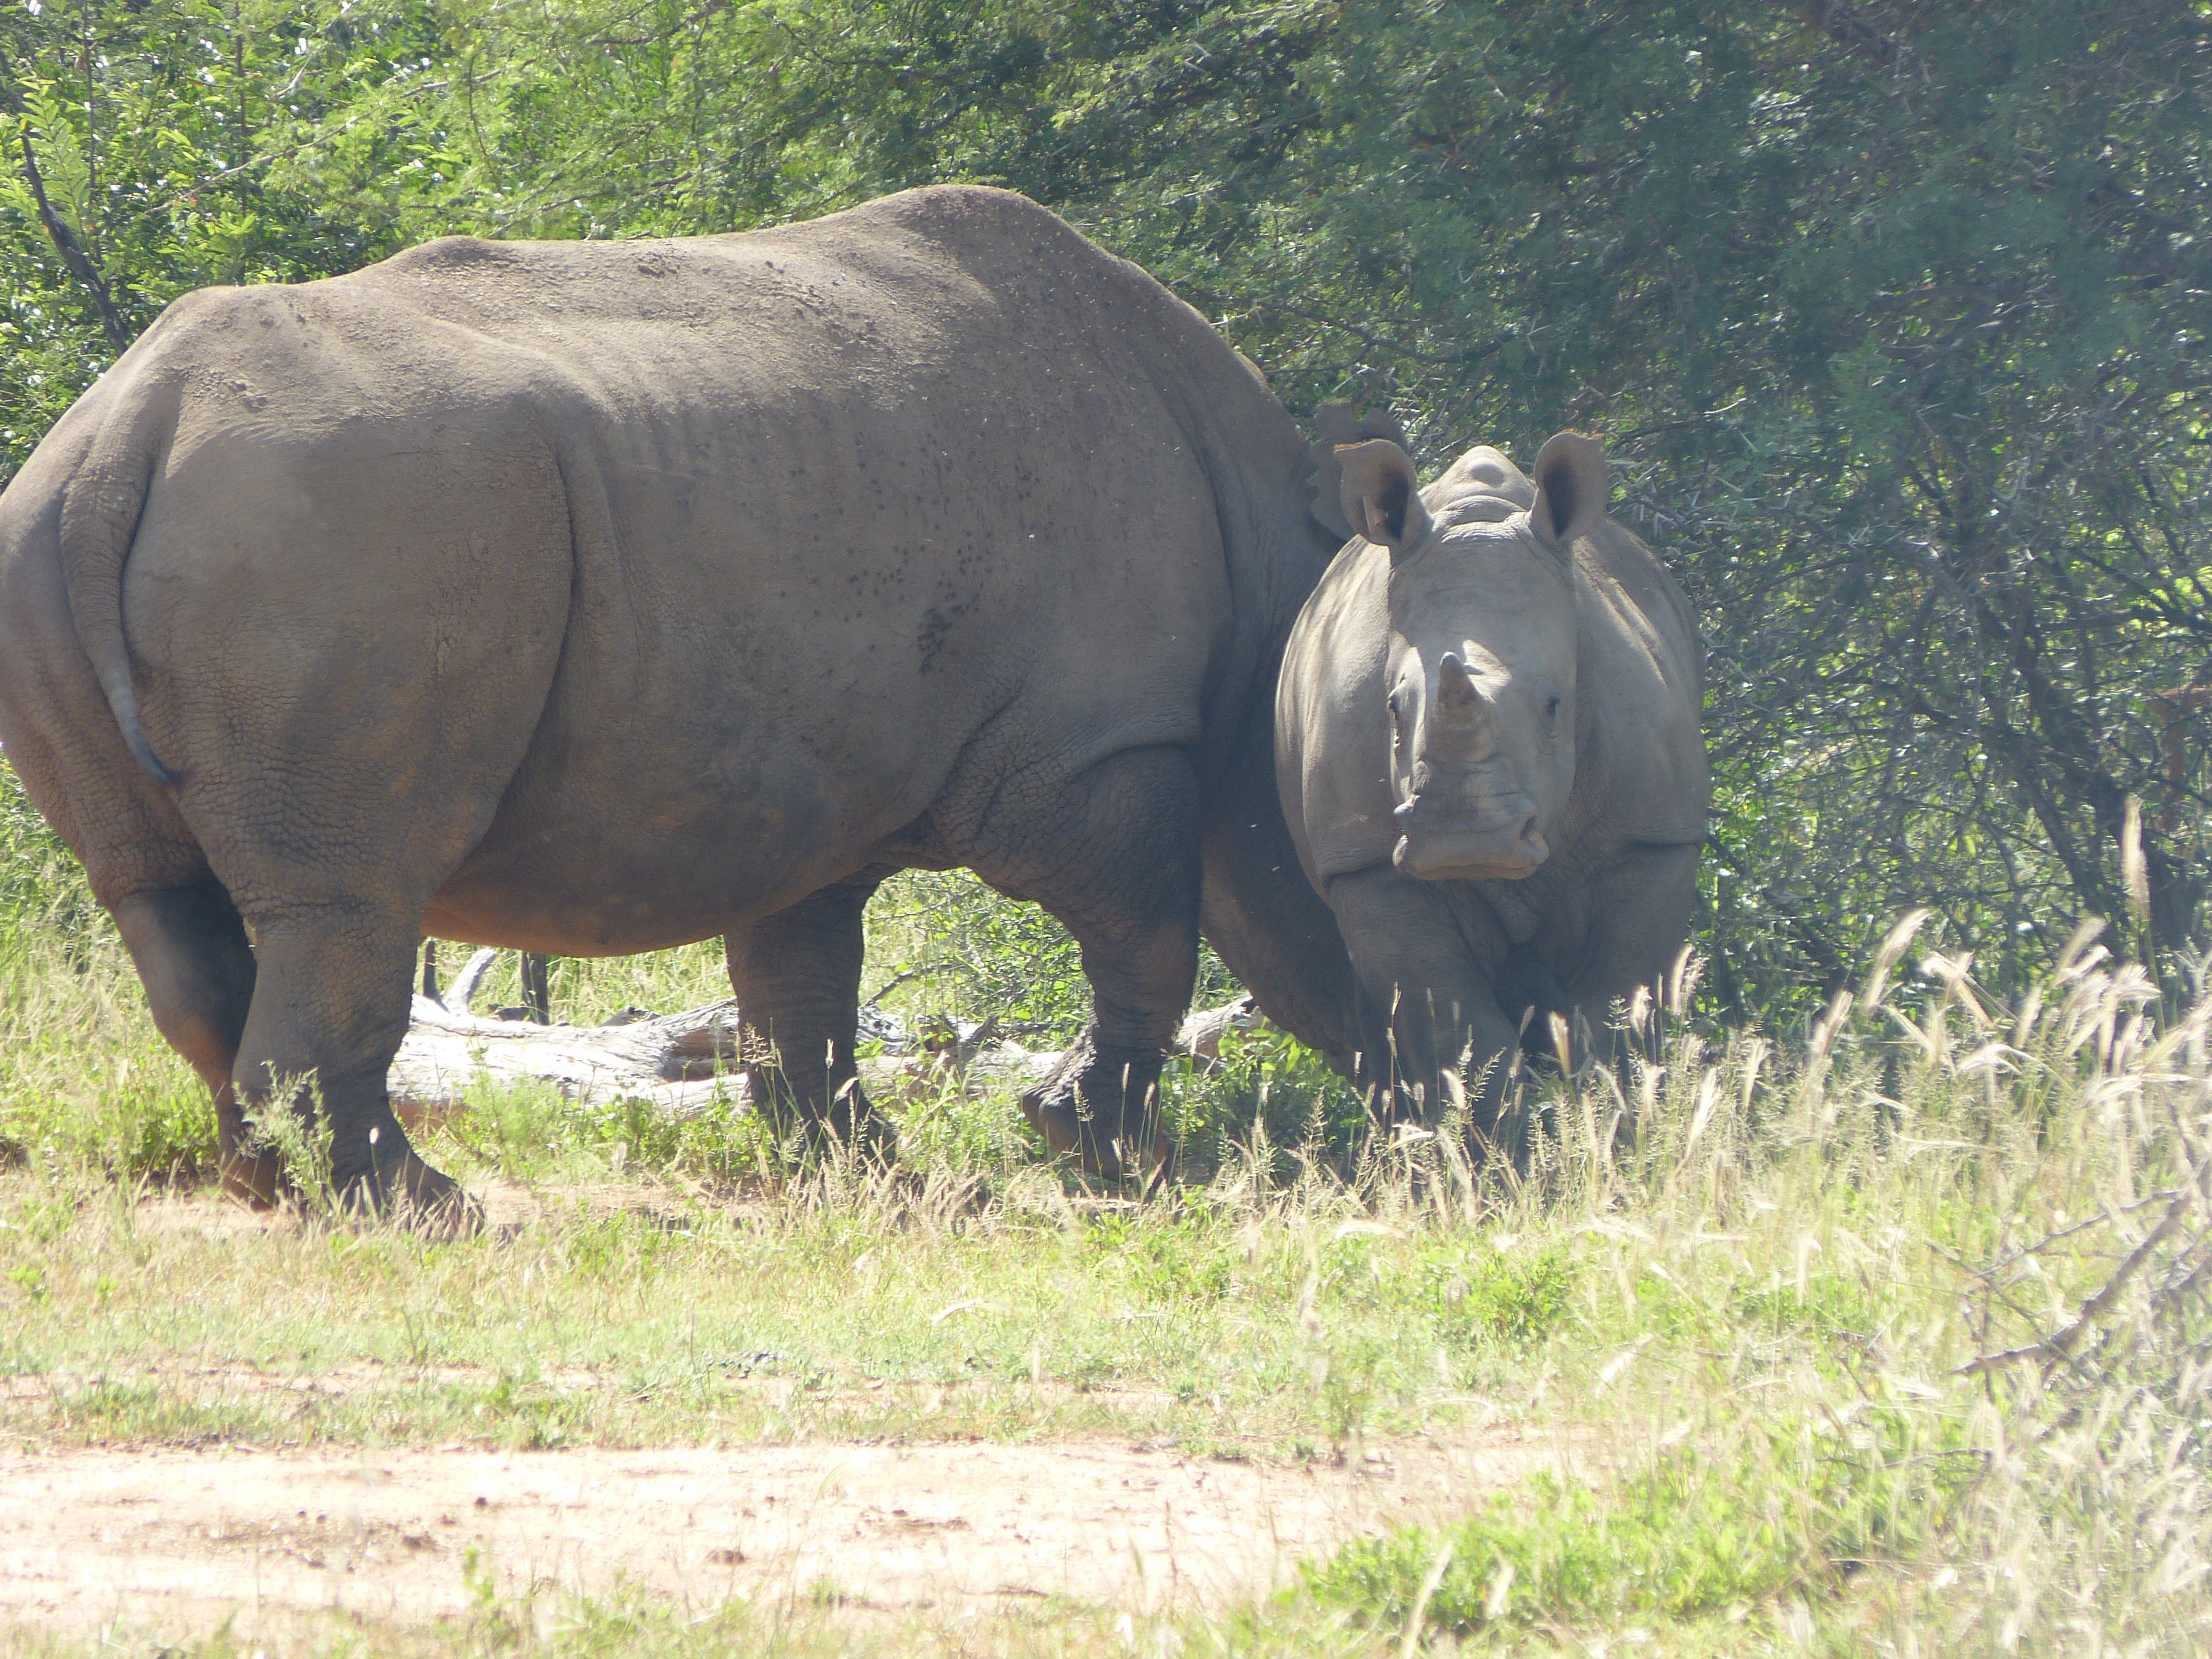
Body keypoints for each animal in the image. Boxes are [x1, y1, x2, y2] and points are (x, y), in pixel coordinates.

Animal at [0, 185, 1359, 1213]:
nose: (1425, 1116)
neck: (1276, 563)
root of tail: (131, 424)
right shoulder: (1090, 751)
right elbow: (1147, 932)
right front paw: (1102, 1154)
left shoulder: (818, 787)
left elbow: (801, 988)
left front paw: (867, 1177)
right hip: (335, 534)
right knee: (349, 900)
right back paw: (420, 1212)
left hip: (61, 533)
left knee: (165, 900)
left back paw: (288, 1191)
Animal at [1276, 431, 1710, 1131]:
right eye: (1391, 709)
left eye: (1555, 706)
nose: (1464, 840)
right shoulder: (1368, 868)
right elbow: (1464, 1045)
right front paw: (1498, 1155)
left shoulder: (1653, 840)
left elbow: (1615, 1020)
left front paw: (1618, 1139)